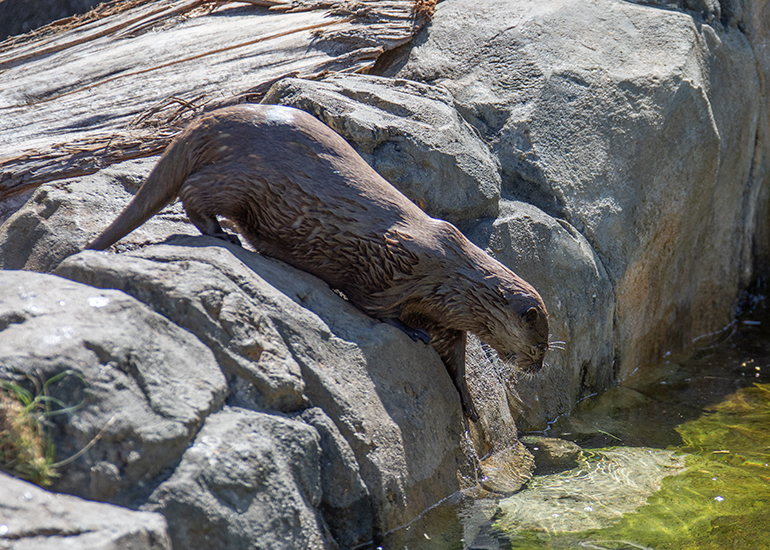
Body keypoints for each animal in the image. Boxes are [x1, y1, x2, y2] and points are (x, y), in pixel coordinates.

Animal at [87, 104, 549, 421]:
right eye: (540, 344)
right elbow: (376, 303)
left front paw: (469, 403)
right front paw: (405, 329)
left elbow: (454, 358)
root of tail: (213, 118)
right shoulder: (396, 262)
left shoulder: (450, 321)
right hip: (242, 177)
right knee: (194, 190)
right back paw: (219, 232)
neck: (453, 281)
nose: (538, 367)